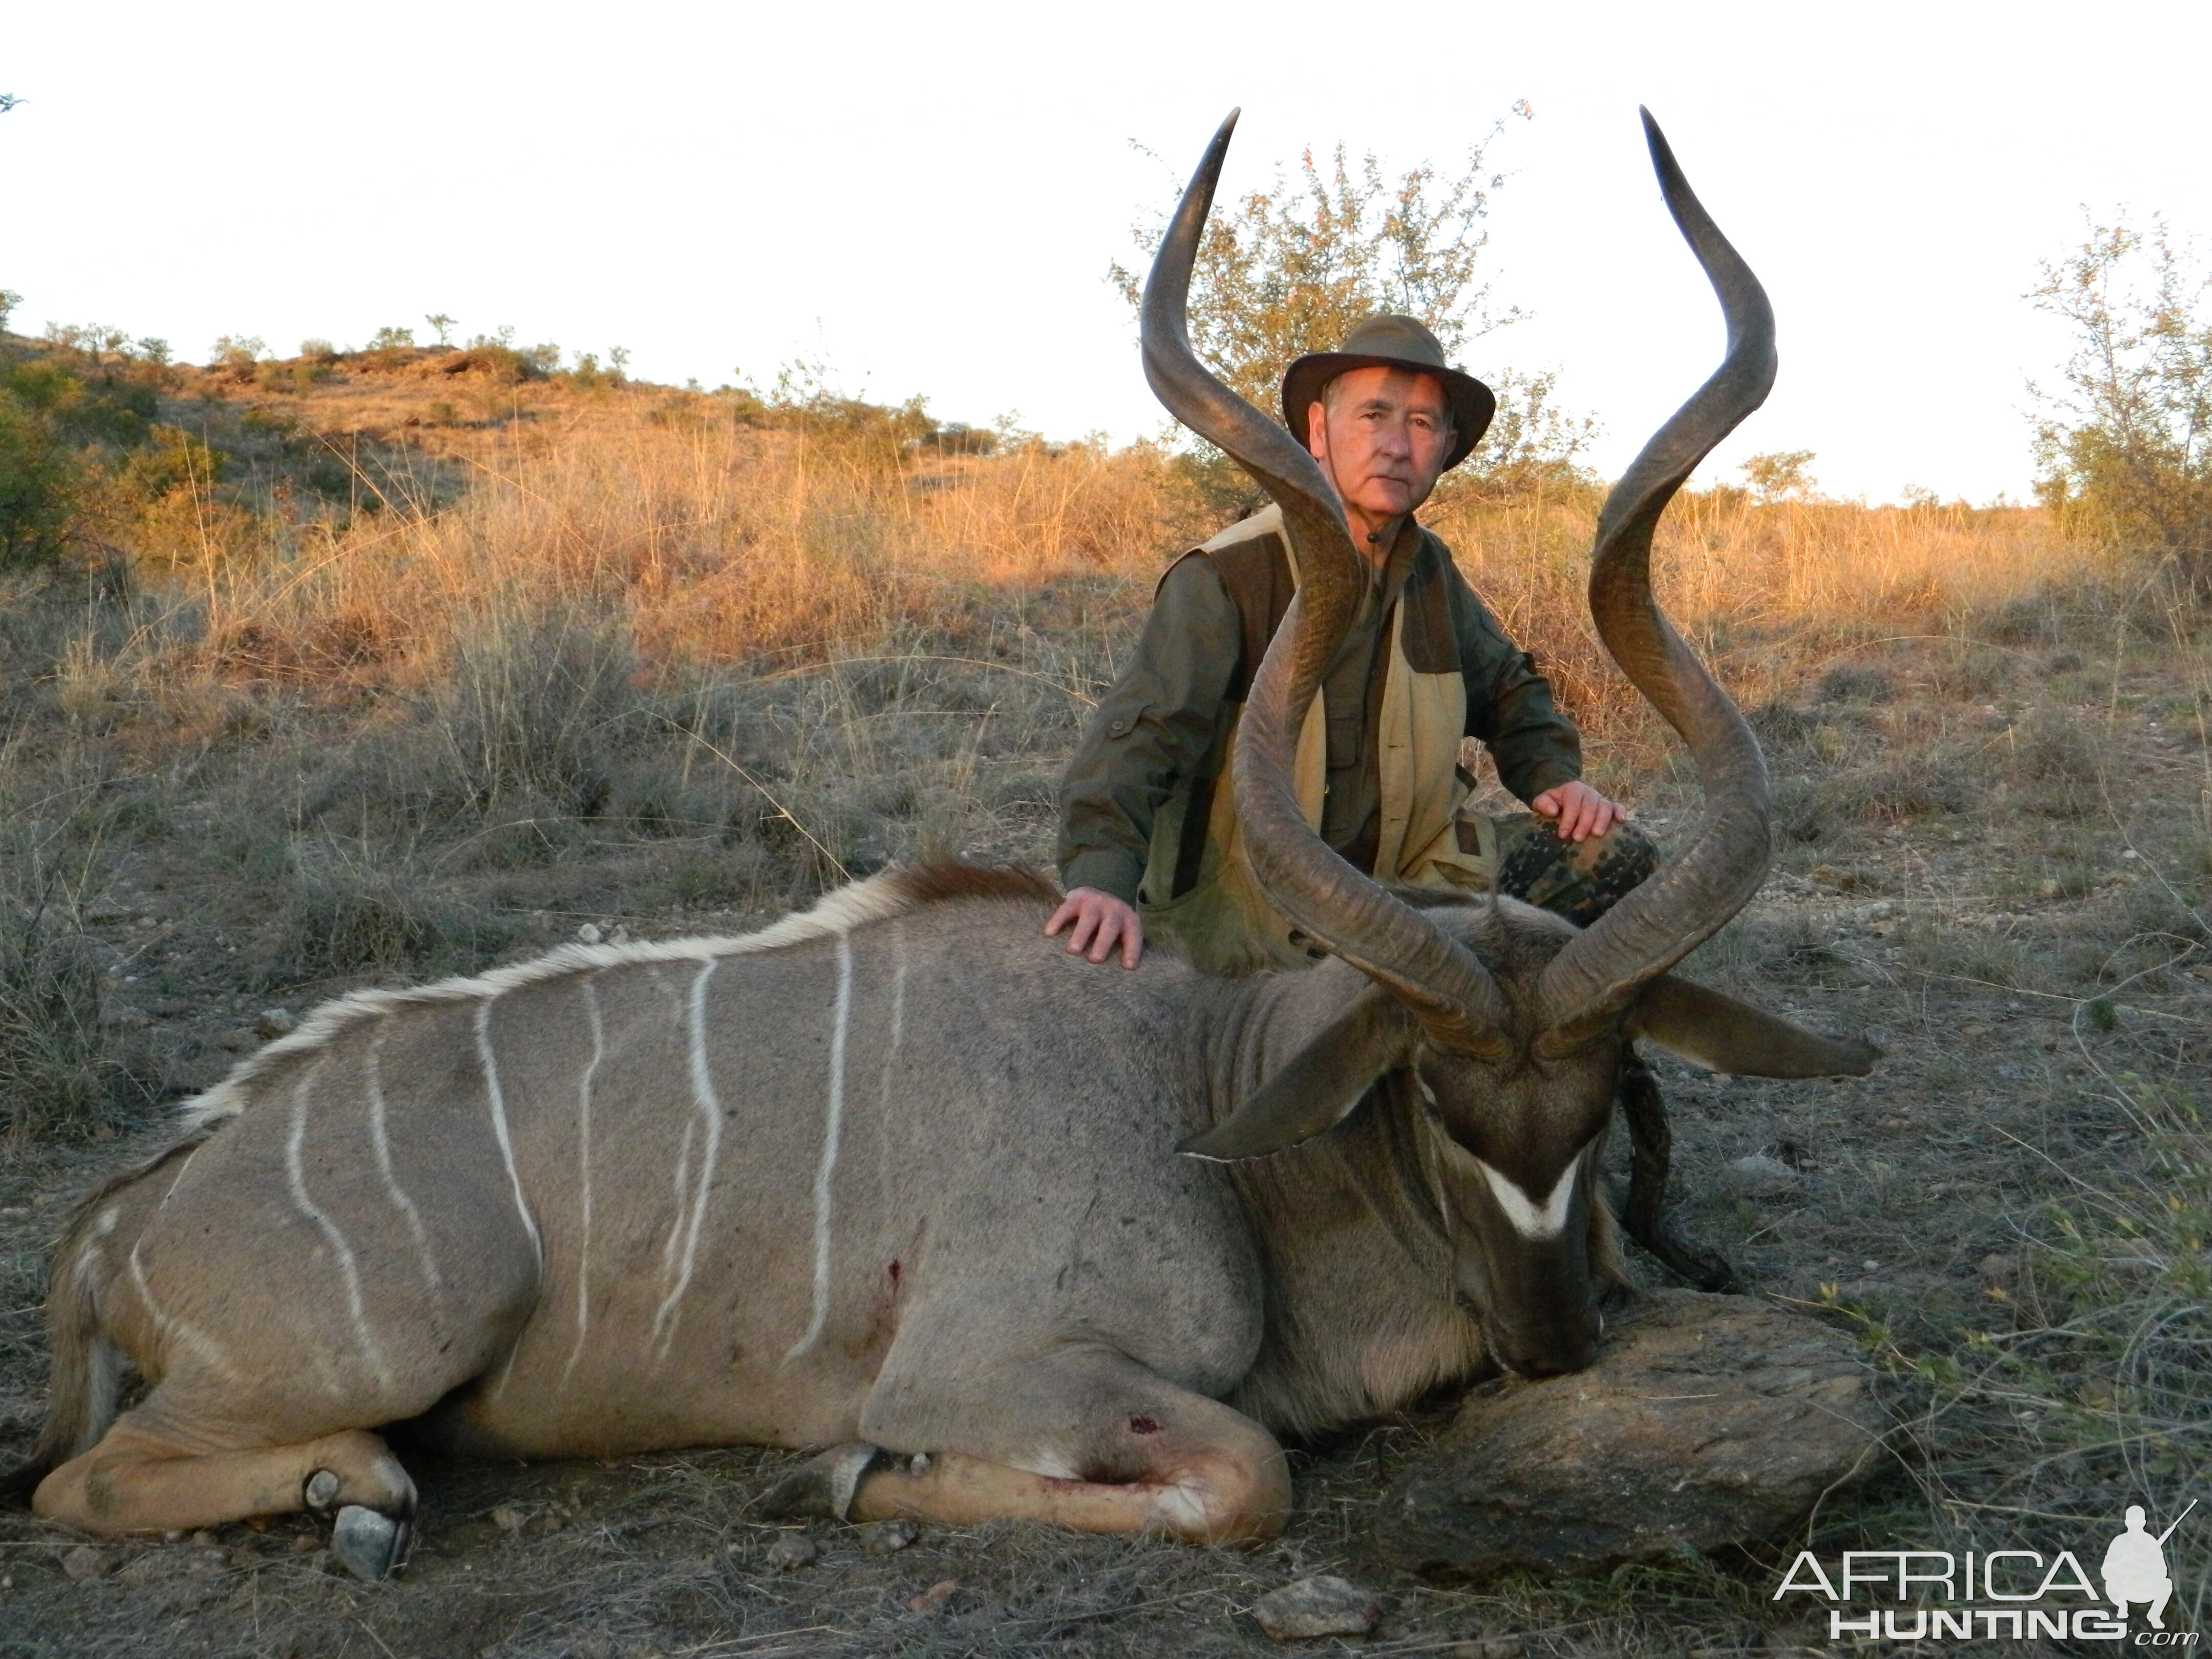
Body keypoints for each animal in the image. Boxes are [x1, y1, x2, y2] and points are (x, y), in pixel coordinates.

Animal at [22, 111, 1867, 1575]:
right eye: (1427, 1094)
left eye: (1607, 1088)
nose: (1556, 1344)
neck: (1207, 1085)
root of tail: (125, 1217)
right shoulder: (1000, 1370)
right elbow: (1239, 1473)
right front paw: (837, 1477)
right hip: (404, 1328)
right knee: (85, 1485)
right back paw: (357, 1492)